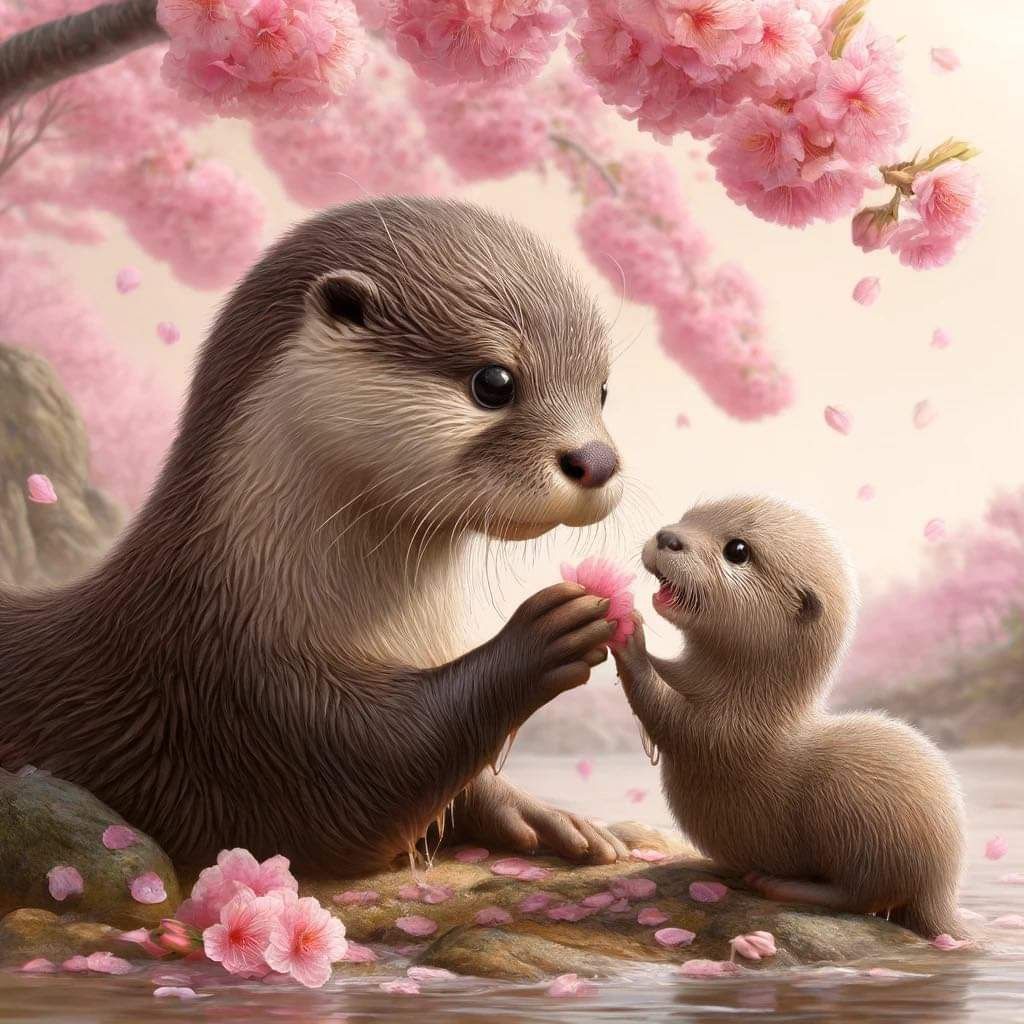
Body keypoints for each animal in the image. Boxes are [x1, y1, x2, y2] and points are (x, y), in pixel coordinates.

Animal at [0, 198, 632, 873]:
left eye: (601, 389)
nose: (597, 460)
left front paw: (551, 816)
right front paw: (544, 633)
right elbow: (371, 776)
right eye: (494, 381)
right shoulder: (243, 706)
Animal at [612, 496, 965, 938]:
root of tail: (940, 885)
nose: (667, 537)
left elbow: (669, 717)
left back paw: (779, 883)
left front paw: (628, 635)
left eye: (737, 551)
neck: (744, 693)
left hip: (857, 811)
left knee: (861, 895)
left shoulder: (730, 732)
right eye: (690, 515)